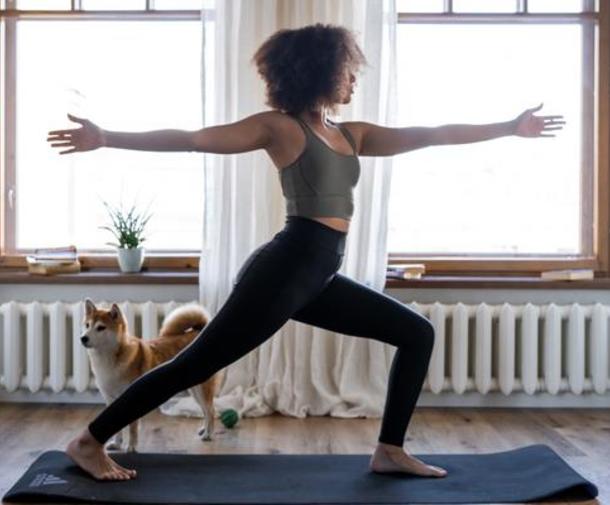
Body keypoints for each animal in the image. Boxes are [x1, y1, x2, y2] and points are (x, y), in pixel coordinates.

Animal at [79, 300, 223, 452]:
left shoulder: (131, 398)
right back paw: (204, 430)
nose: (83, 338)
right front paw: (116, 444)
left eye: (101, 327)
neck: (109, 360)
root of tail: (199, 331)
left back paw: (208, 434)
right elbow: (115, 427)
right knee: (205, 411)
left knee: (211, 410)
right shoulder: (110, 399)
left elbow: (132, 428)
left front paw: (131, 447)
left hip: (202, 390)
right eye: (87, 325)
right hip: (195, 390)